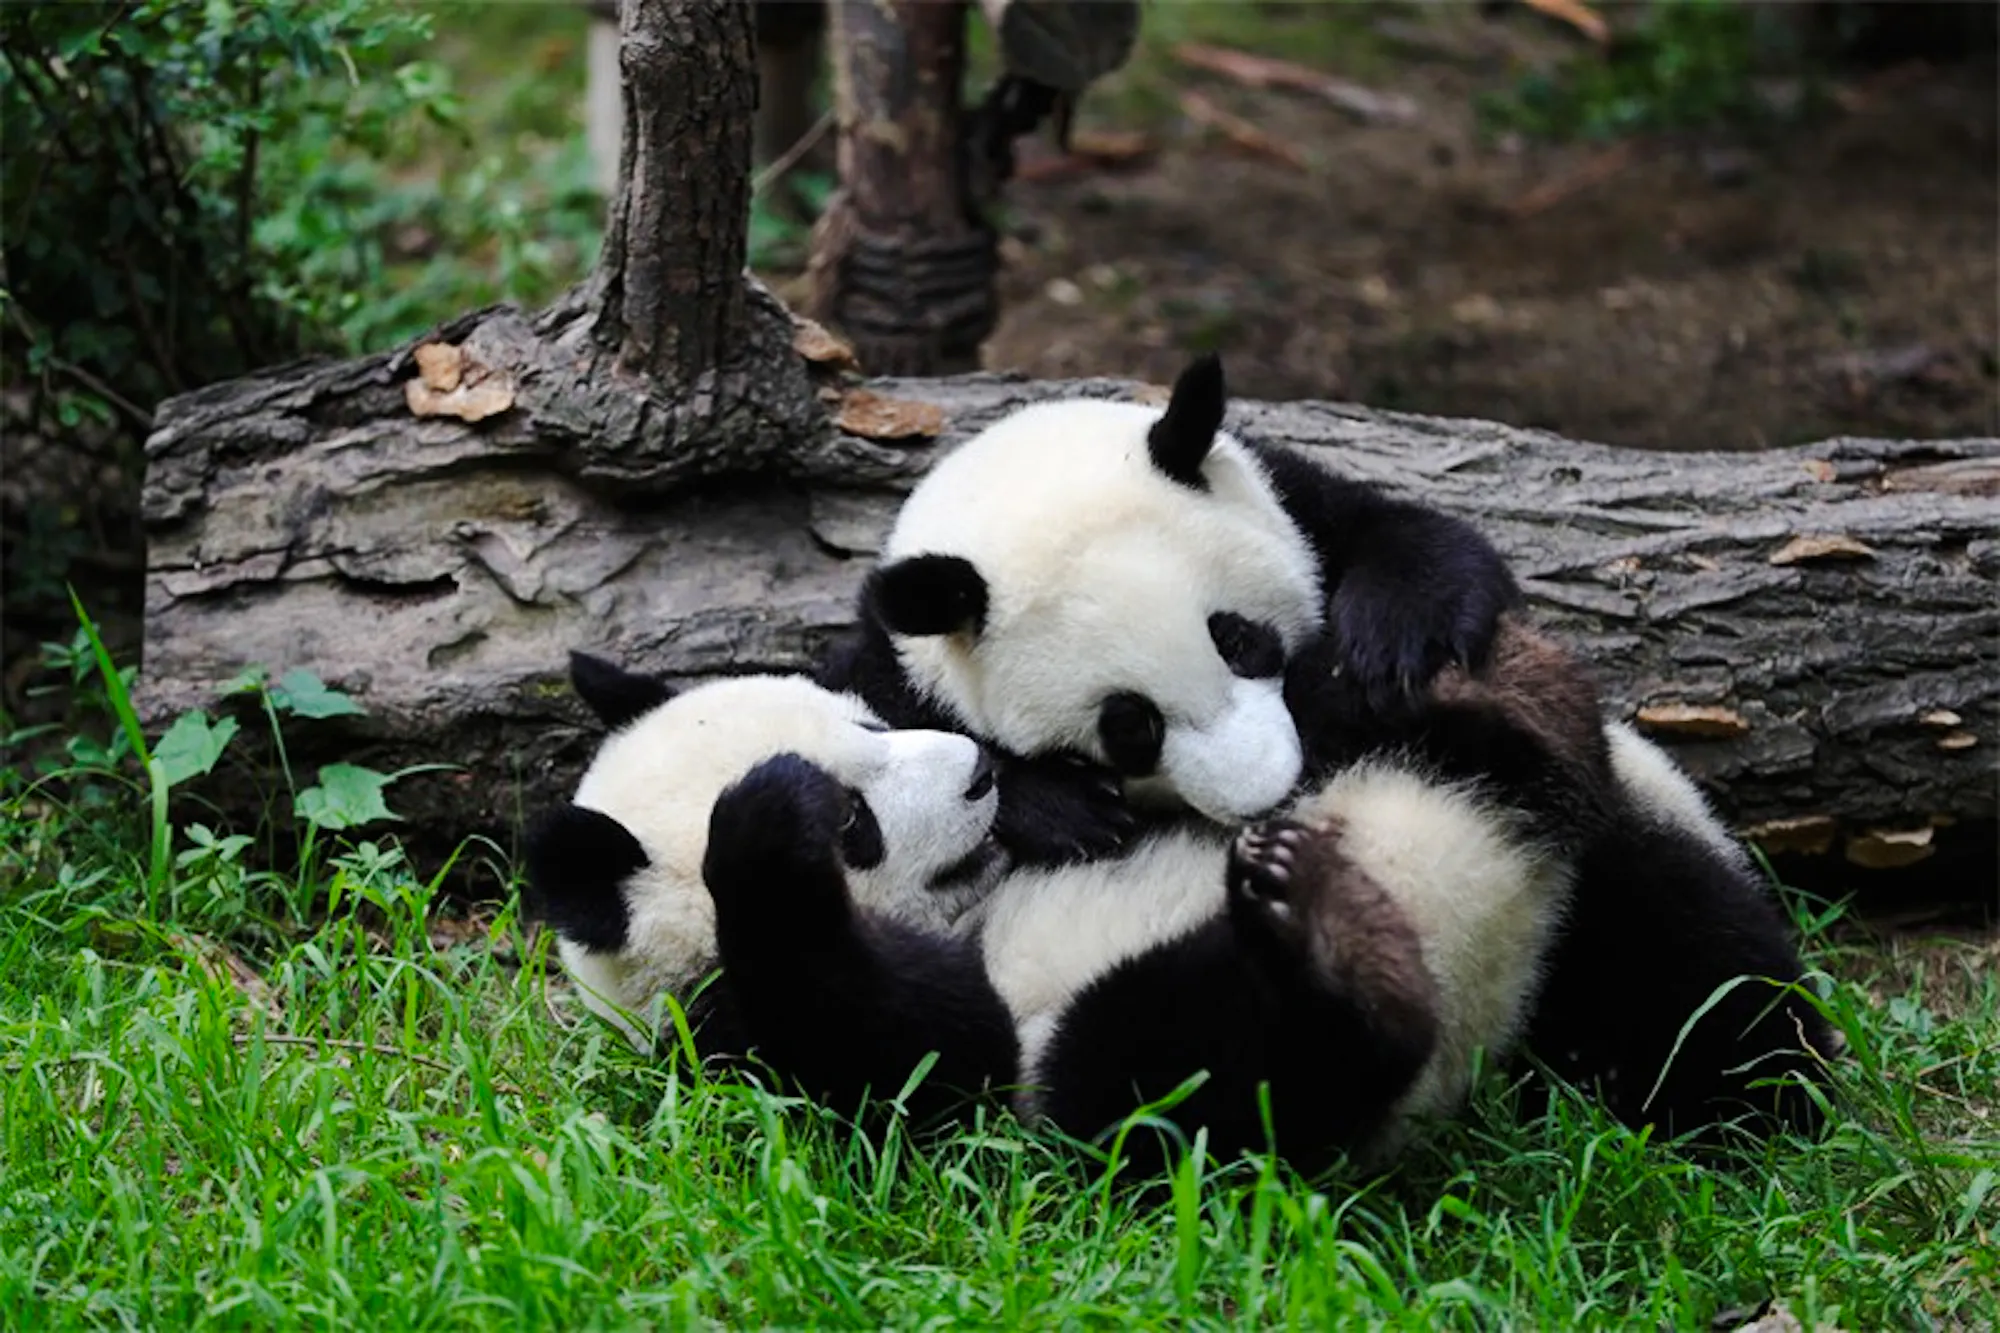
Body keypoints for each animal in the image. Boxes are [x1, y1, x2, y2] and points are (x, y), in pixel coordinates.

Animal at [538, 628, 1611, 1175]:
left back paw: (1504, 688)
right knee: (1178, 1077)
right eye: (857, 823)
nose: (975, 775)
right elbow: (927, 1053)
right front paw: (764, 821)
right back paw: (1342, 947)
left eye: (870, 724)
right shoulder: (738, 1044)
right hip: (1136, 1058)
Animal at [821, 354, 1839, 1145]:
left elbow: (1421, 544)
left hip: (1613, 849)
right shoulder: (891, 670)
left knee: (1689, 960)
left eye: (1239, 639)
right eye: (1131, 726)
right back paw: (1338, 953)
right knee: (1194, 1075)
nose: (1272, 790)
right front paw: (1059, 805)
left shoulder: (1304, 507)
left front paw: (1390, 642)